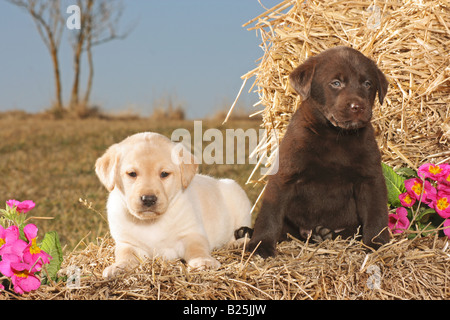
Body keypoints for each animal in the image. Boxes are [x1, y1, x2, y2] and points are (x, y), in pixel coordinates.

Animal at [95, 131, 253, 278]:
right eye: (132, 174)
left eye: (164, 174)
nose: (148, 199)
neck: (151, 223)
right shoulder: (127, 243)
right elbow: (125, 255)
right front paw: (119, 267)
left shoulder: (191, 233)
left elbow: (197, 248)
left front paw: (204, 261)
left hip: (238, 198)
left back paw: (237, 243)